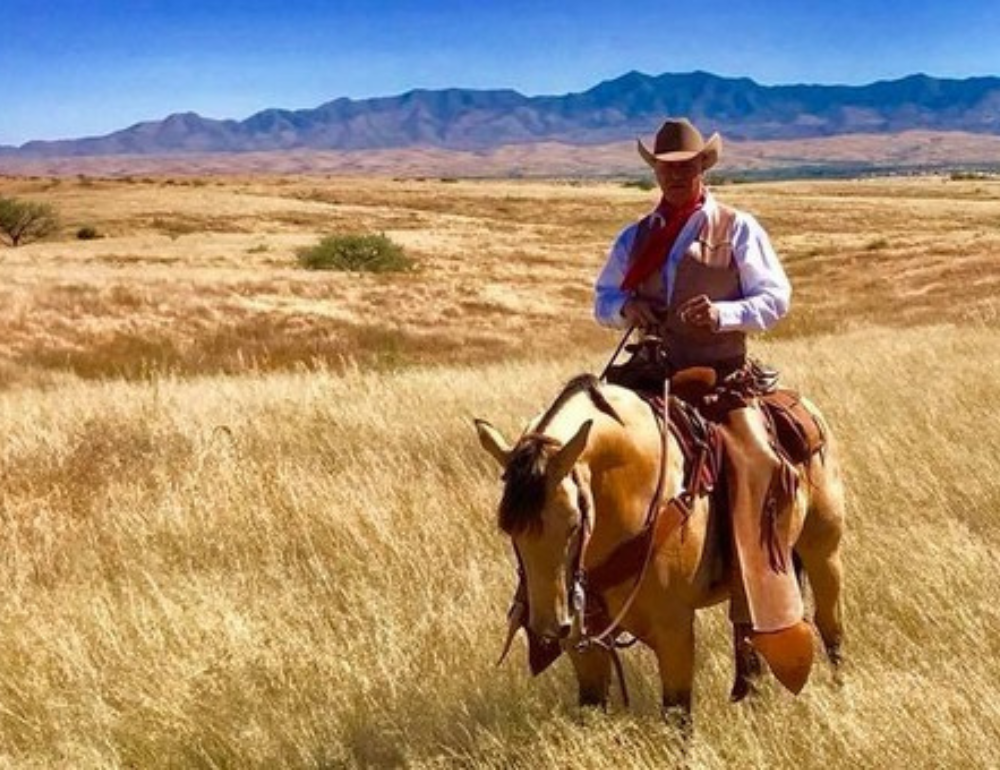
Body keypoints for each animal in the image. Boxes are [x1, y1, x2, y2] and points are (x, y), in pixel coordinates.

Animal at [474, 372, 844, 720]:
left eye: (574, 522)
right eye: (509, 529)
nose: (550, 629)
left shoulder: (674, 631)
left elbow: (677, 715)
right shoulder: (587, 644)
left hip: (823, 553)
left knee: (830, 628)